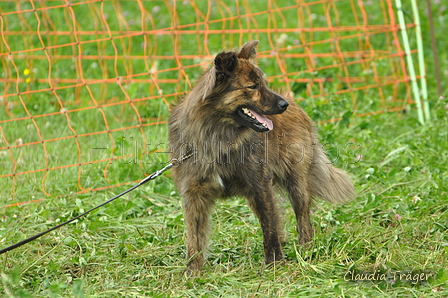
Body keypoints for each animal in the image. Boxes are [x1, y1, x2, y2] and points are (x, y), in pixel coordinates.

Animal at [168, 40, 354, 274]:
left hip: (296, 185)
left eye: (263, 83)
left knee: (302, 218)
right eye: (252, 87)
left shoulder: (259, 185)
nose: (284, 105)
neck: (219, 136)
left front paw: (274, 263)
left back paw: (306, 250)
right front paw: (193, 272)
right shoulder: (194, 195)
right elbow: (195, 239)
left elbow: (269, 227)